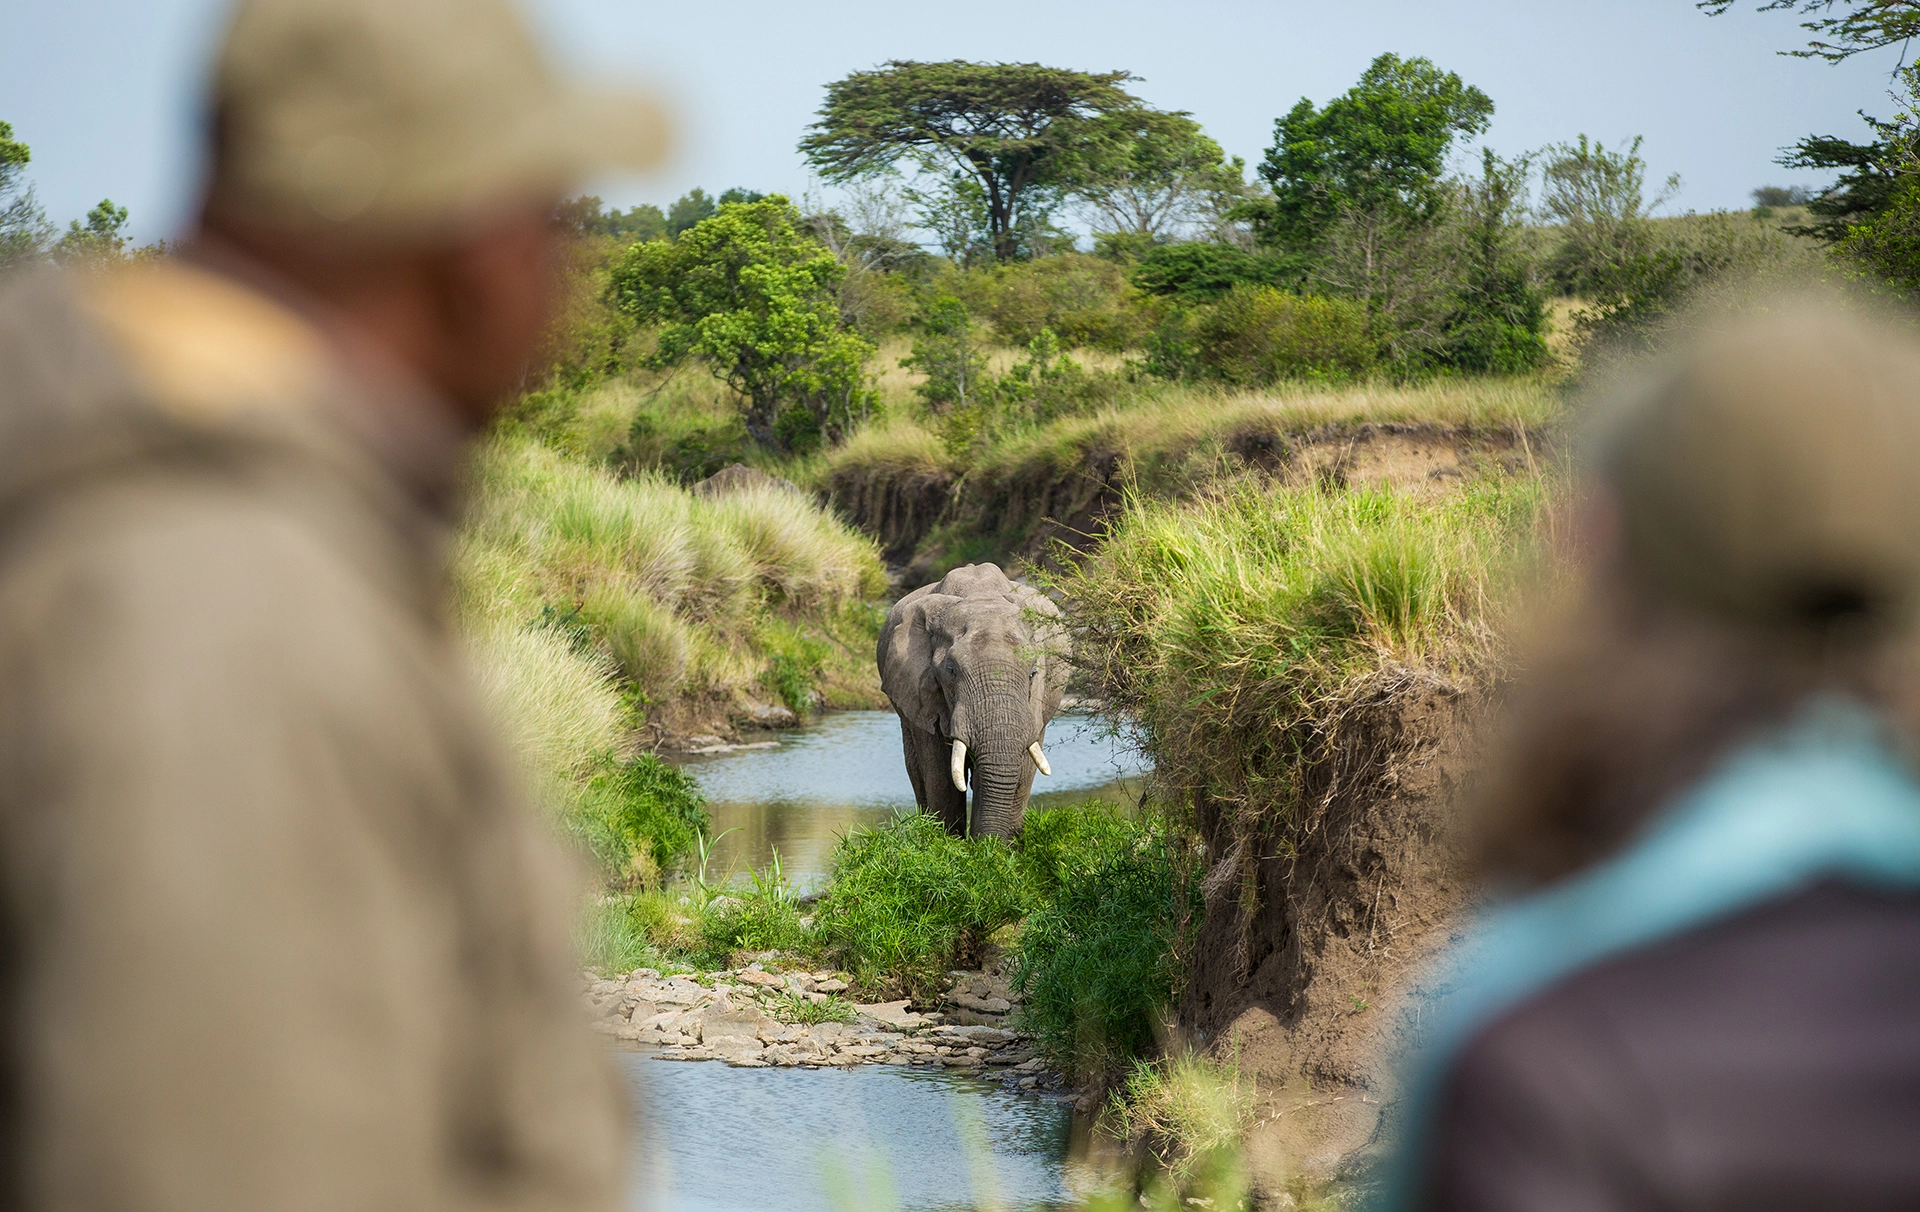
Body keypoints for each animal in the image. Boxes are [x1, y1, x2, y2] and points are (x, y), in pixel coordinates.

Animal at [878, 563, 1070, 838]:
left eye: (1033, 673)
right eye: (951, 670)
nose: (987, 843)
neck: (980, 596)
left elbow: (1018, 769)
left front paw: (996, 847)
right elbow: (939, 773)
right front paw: (949, 843)